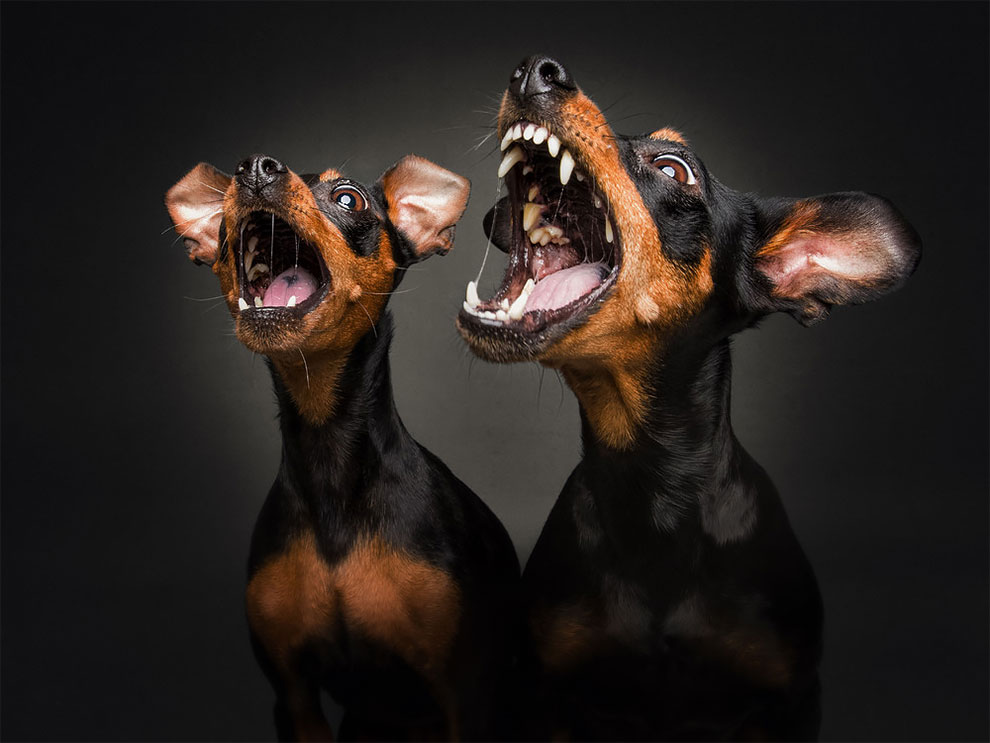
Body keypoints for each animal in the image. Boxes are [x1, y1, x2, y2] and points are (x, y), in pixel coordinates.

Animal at [164, 154, 524, 740]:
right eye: (219, 222)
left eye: (348, 198)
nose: (255, 169)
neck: (327, 445)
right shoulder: (292, 695)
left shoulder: (463, 697)